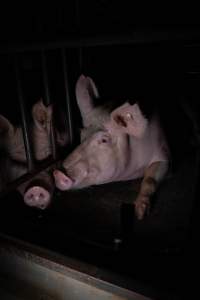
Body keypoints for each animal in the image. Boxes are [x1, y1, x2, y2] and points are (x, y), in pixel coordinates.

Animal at [54, 75, 170, 220]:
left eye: (104, 140)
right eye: (82, 134)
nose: (57, 173)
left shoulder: (164, 153)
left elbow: (150, 180)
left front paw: (139, 214)